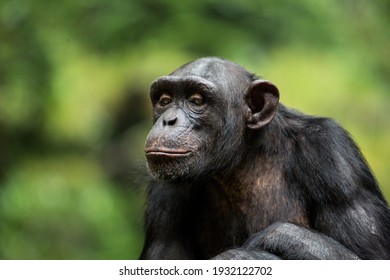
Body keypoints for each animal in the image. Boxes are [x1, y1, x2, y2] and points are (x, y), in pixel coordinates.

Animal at [140, 57, 390, 260]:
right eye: (164, 100)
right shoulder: (164, 192)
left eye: (197, 100)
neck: (243, 159)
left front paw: (265, 243)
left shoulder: (336, 161)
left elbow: (372, 256)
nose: (168, 120)